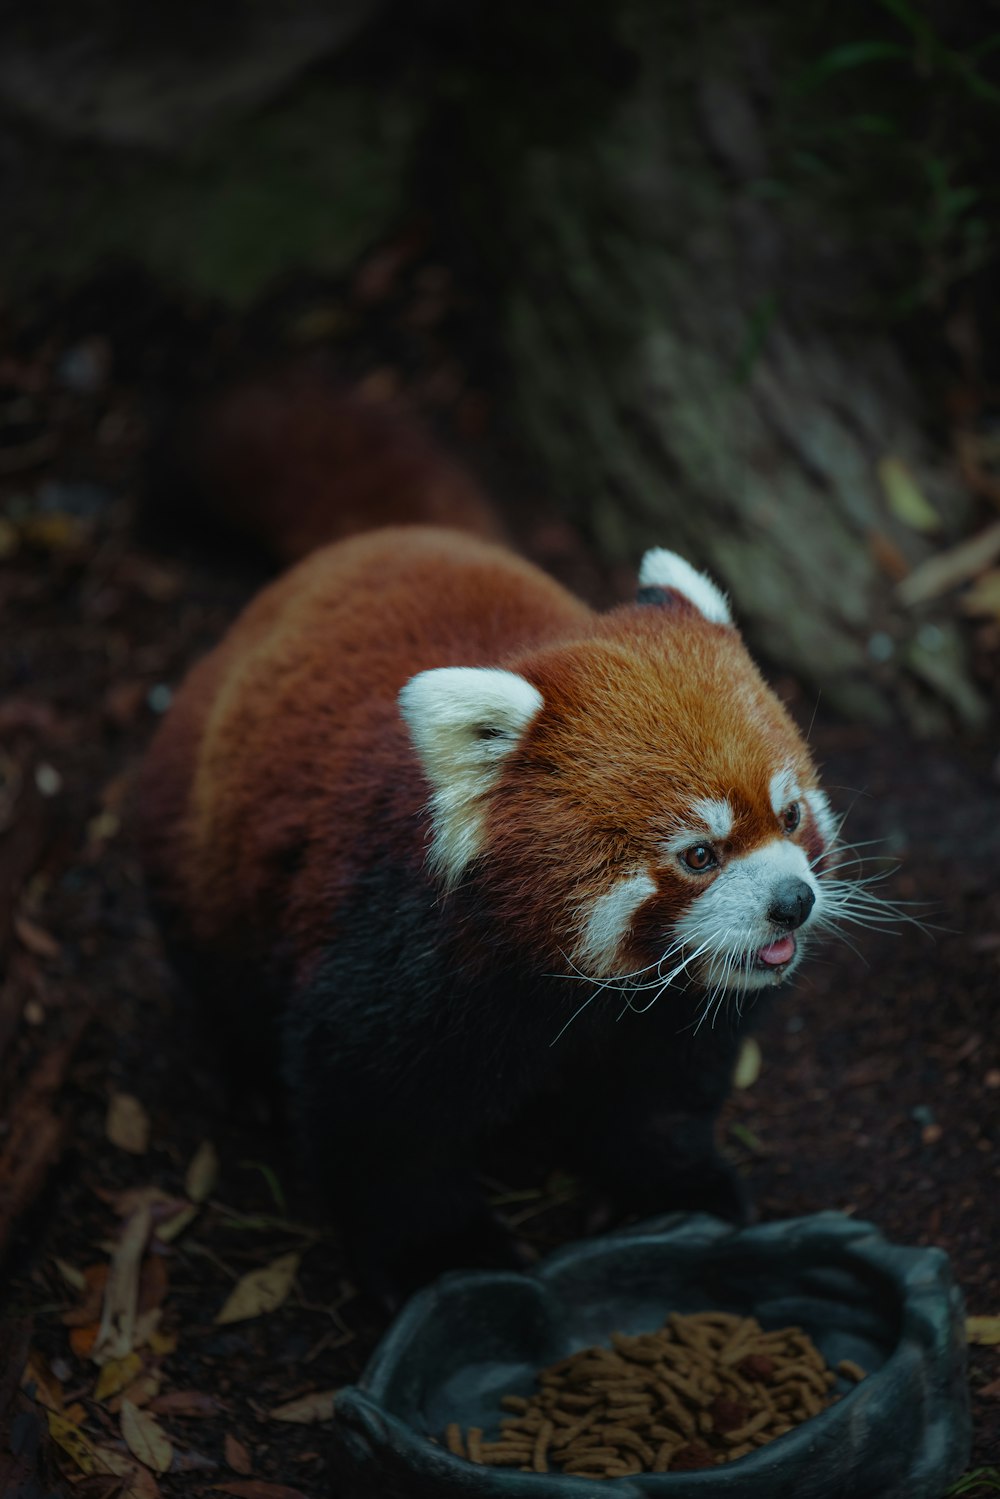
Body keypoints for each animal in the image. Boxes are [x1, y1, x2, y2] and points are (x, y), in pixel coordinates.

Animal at [140, 371, 839, 1301]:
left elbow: (660, 1093)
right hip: (198, 842)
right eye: (699, 854)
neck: (578, 988)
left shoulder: (669, 1010)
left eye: (790, 814)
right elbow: (381, 1120)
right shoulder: (399, 951)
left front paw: (672, 1190)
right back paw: (246, 1069)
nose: (793, 901)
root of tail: (373, 540)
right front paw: (443, 1257)